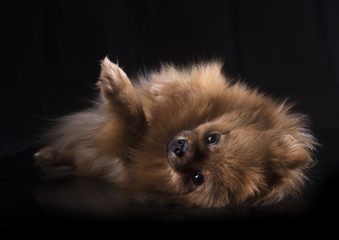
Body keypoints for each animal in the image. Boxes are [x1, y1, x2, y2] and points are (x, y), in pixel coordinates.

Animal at [35, 57, 318, 207]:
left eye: (197, 178)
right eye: (212, 138)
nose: (180, 149)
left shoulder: (129, 151)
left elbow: (134, 121)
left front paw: (117, 87)